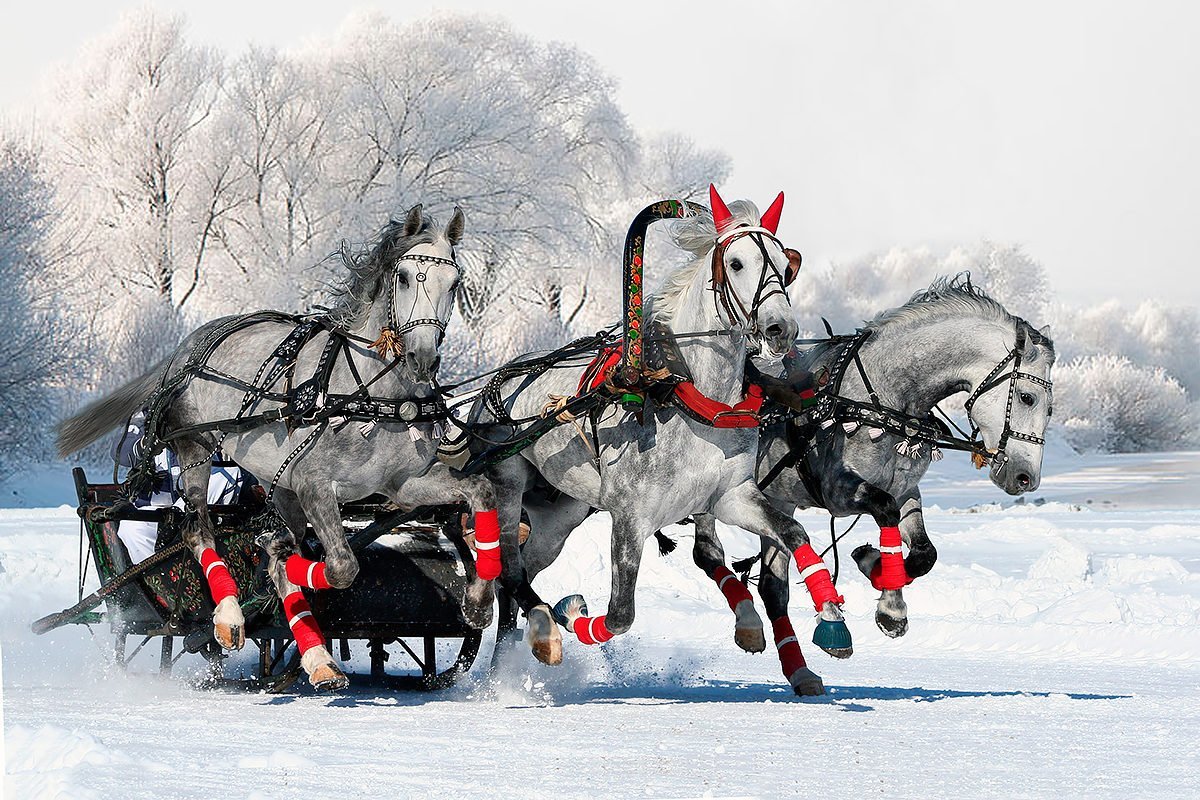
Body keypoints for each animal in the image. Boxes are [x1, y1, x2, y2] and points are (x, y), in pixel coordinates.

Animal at [56, 205, 504, 690]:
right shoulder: (314, 485)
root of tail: (187, 346)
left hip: (281, 485)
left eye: (454, 282)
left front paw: (479, 601)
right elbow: (341, 566)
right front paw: (267, 574)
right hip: (196, 447)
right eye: (403, 277)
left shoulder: (402, 485)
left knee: (278, 548)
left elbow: (480, 491)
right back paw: (230, 615)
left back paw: (318, 657)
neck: (372, 394)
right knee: (198, 528)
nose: (423, 359)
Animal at [463, 189, 840, 695]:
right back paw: (539, 628)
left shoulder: (730, 497)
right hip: (507, 482)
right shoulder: (629, 516)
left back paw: (507, 662)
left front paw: (830, 615)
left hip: (561, 511)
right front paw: (572, 612)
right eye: (736, 262)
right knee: (508, 567)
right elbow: (620, 615)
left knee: (520, 569)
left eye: (785, 263)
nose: (781, 330)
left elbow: (794, 532)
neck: (691, 399)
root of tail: (499, 382)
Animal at [691, 277, 1056, 695]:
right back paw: (752, 625)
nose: (1025, 477)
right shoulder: (839, 490)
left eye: (1050, 408)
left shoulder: (907, 490)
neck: (883, 400)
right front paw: (890, 607)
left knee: (773, 585)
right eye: (1027, 397)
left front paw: (875, 564)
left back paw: (801, 671)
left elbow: (925, 552)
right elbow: (884, 508)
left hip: (778, 501)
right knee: (707, 553)